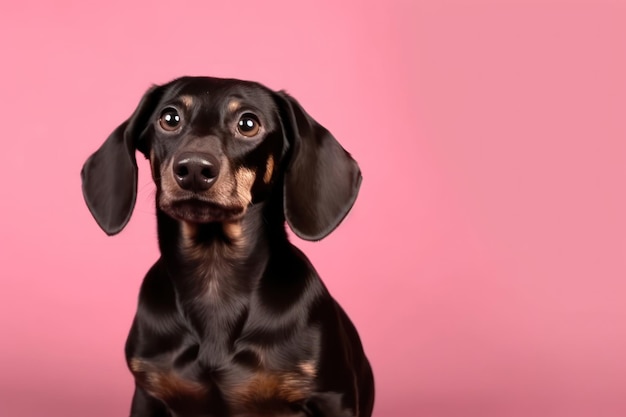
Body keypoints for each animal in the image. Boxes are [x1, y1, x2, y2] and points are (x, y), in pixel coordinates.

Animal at [79, 76, 370, 414]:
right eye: (169, 118)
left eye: (248, 123)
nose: (193, 169)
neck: (215, 276)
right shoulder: (147, 394)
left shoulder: (333, 397)